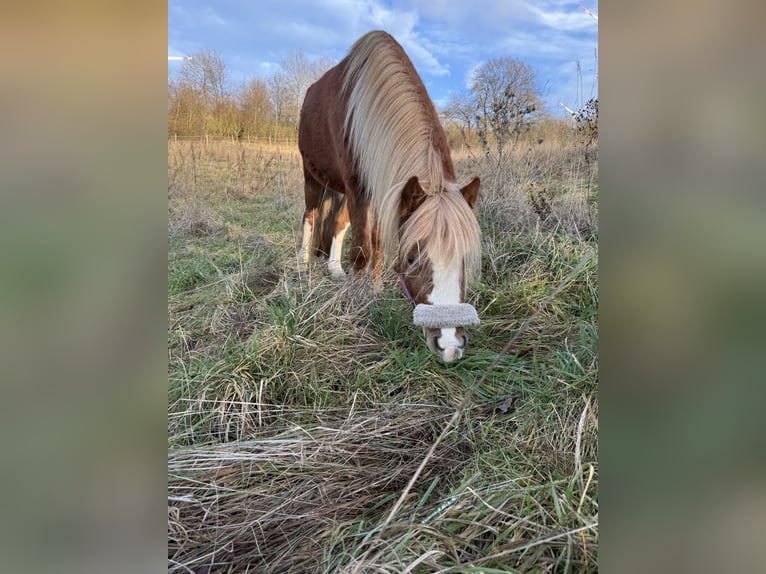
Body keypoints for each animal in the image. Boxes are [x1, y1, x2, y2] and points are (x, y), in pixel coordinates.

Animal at [298, 31, 484, 362]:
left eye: (463, 258)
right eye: (411, 258)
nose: (450, 346)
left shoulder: (381, 191)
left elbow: (377, 243)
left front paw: (371, 288)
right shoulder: (358, 187)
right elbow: (362, 249)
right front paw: (356, 299)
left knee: (338, 224)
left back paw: (334, 270)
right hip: (312, 176)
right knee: (311, 216)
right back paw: (302, 265)